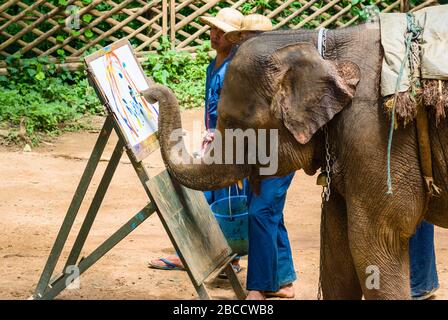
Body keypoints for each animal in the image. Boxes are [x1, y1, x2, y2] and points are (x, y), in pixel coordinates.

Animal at [143, 22, 448, 300]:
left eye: (234, 123)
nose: (147, 94)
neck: (324, 47)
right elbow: (338, 252)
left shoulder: (376, 133)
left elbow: (375, 245)